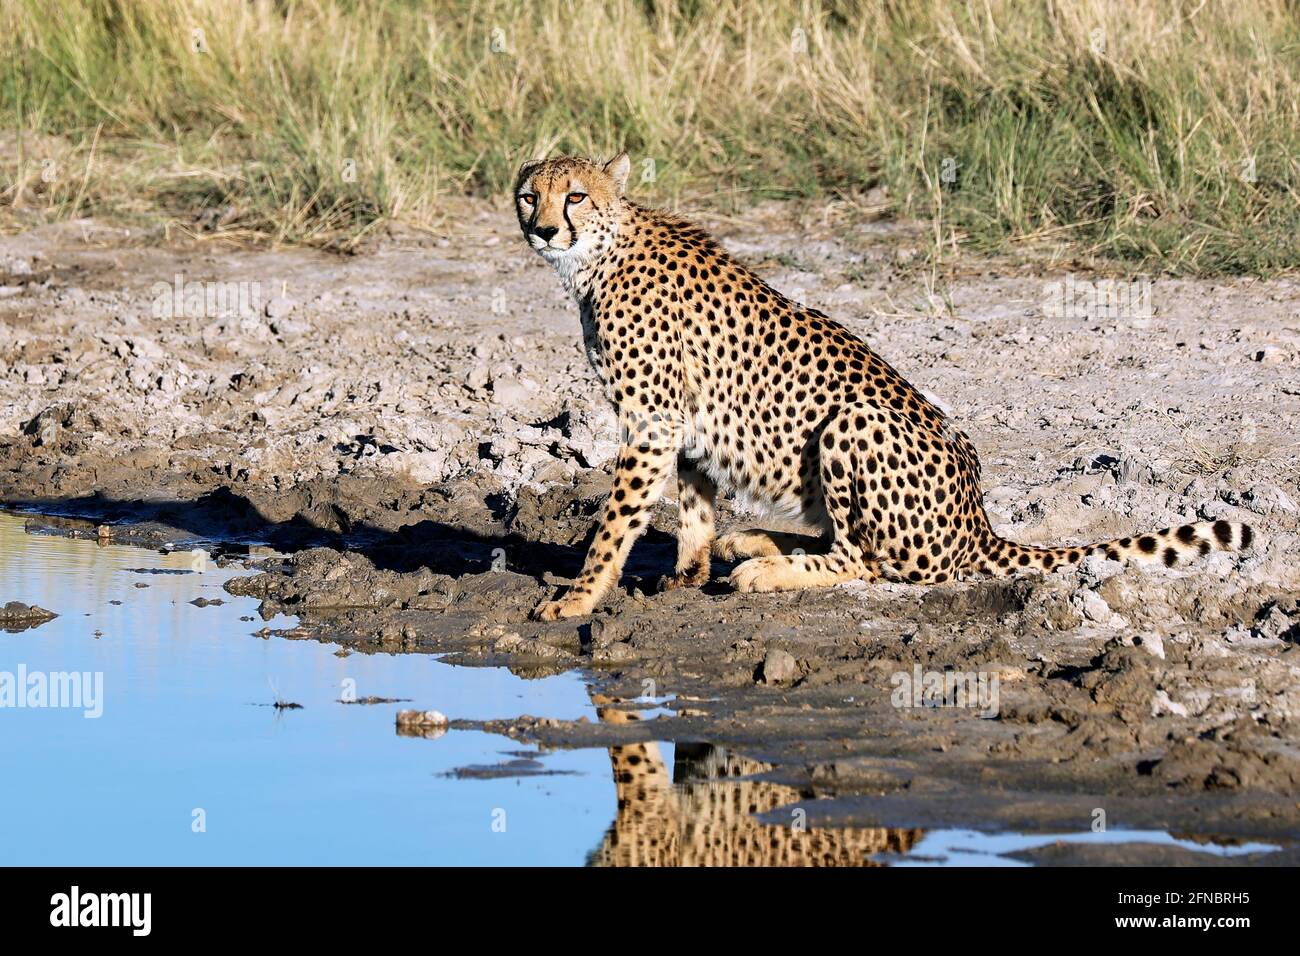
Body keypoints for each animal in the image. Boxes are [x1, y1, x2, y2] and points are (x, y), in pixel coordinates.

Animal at [514, 153, 1253, 621]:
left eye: (575, 195)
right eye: (530, 195)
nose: (543, 227)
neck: (600, 253)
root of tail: (979, 523)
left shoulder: (653, 419)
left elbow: (616, 522)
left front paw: (577, 597)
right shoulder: (682, 421)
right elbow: (695, 502)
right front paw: (685, 572)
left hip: (852, 422)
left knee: (867, 559)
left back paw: (765, 568)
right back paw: (753, 543)